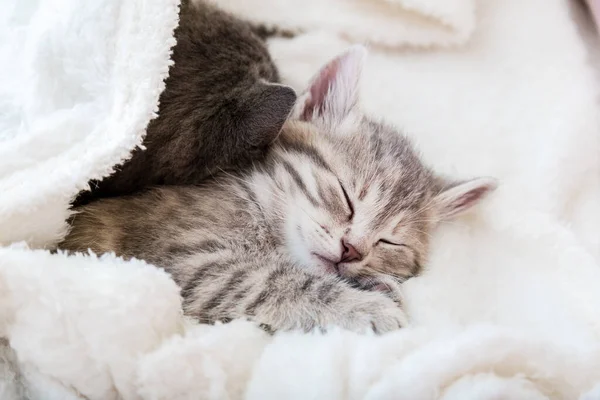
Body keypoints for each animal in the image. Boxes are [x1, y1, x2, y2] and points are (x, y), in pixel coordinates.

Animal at [59, 46, 496, 334]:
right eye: (345, 195)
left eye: (391, 242)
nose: (351, 250)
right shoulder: (179, 259)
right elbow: (274, 283)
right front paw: (365, 306)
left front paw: (371, 283)